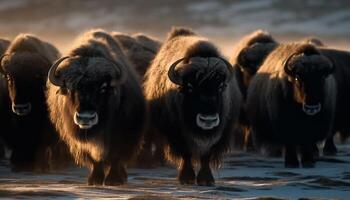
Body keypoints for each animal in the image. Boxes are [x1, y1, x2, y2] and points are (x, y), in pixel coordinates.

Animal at [46, 28, 145, 185]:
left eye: (103, 87)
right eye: (70, 87)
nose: (85, 118)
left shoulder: (120, 135)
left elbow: (114, 155)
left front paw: (113, 180)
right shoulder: (79, 140)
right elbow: (93, 159)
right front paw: (95, 179)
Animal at [144, 27, 242, 185]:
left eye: (220, 87)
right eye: (190, 87)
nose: (208, 120)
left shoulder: (219, 135)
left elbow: (206, 156)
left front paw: (206, 180)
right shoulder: (177, 132)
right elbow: (186, 154)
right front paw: (187, 178)